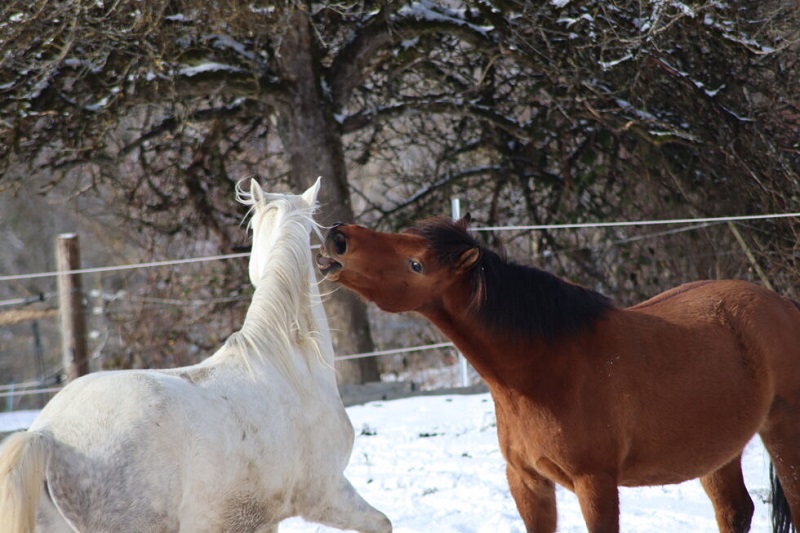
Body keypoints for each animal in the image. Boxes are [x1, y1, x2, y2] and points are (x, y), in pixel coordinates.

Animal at [316, 213, 800, 533]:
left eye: (416, 263)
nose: (337, 238)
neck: (543, 372)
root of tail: (782, 305)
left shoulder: (595, 483)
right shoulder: (527, 482)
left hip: (782, 434)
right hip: (717, 452)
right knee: (734, 512)